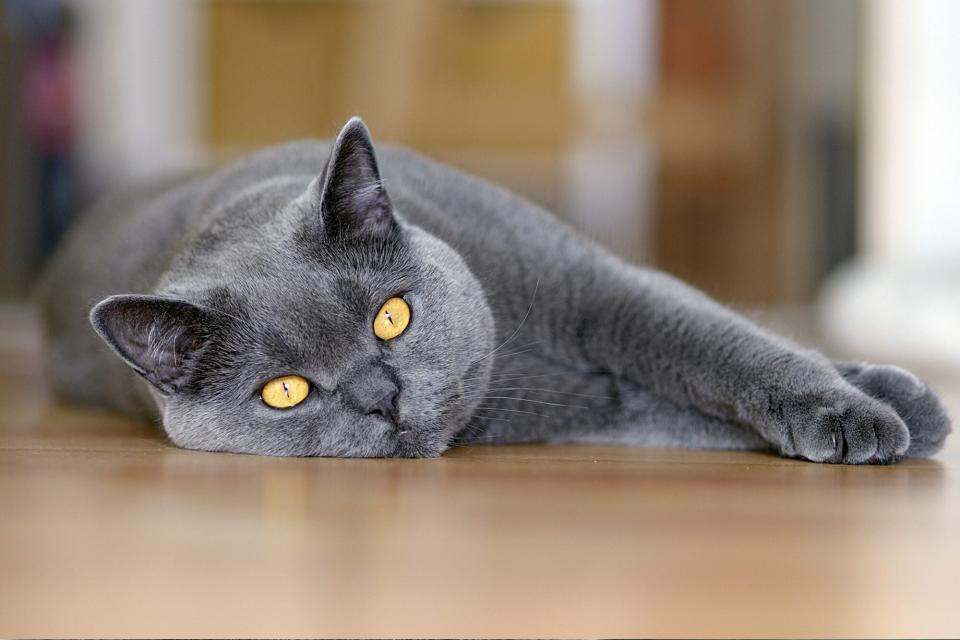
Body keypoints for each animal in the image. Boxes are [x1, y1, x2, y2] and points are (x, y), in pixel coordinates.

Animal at [35, 119, 944, 460]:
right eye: (285, 392)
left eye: (391, 317)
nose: (381, 394)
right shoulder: (585, 406)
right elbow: (687, 401)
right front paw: (877, 418)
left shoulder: (601, 290)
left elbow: (725, 346)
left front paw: (881, 403)